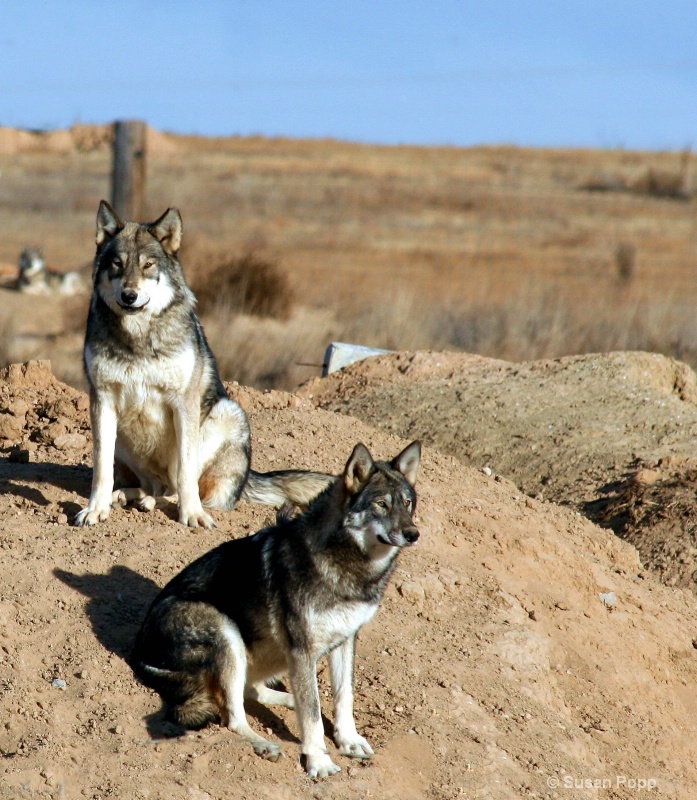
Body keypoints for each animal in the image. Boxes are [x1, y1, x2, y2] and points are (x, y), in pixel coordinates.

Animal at [75, 200, 334, 528]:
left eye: (148, 265)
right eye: (117, 265)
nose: (129, 296)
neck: (139, 337)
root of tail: (247, 478)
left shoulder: (184, 402)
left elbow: (186, 475)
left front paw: (193, 515)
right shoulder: (102, 399)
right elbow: (101, 470)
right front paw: (96, 509)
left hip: (226, 413)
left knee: (178, 488)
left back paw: (152, 502)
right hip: (125, 437)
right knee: (155, 485)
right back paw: (125, 496)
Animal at [132, 440, 418, 780]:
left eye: (408, 504)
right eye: (381, 504)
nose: (413, 534)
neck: (350, 568)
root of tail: (139, 653)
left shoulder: (345, 640)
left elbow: (342, 697)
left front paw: (348, 741)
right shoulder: (302, 649)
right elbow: (311, 717)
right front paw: (318, 760)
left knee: (254, 692)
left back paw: (291, 702)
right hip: (227, 633)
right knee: (233, 717)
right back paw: (264, 744)